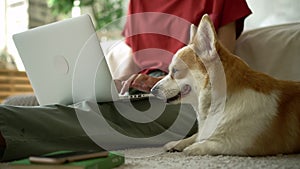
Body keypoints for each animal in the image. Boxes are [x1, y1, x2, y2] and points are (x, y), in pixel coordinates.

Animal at [151, 14, 300, 156]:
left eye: (175, 71)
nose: (152, 90)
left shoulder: (244, 144)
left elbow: (212, 143)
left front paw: (193, 147)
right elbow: (196, 135)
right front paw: (177, 143)